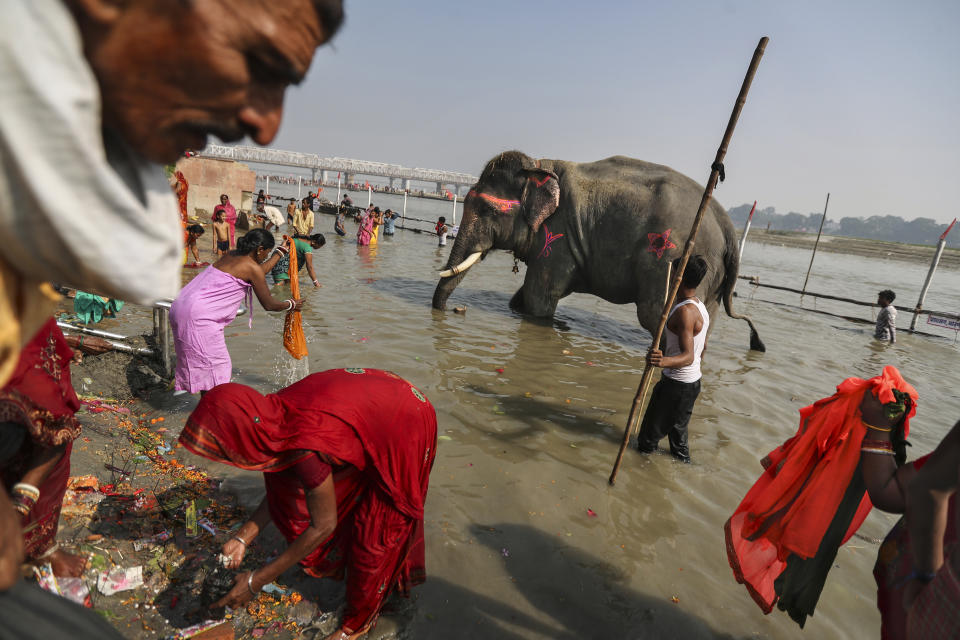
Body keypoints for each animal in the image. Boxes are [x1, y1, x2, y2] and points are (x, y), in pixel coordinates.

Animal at [434, 149, 764, 350]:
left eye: (486, 210)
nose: (451, 310)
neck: (539, 167)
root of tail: (728, 228)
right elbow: (526, 297)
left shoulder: (558, 237)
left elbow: (540, 297)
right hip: (712, 278)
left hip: (671, 261)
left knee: (655, 313)